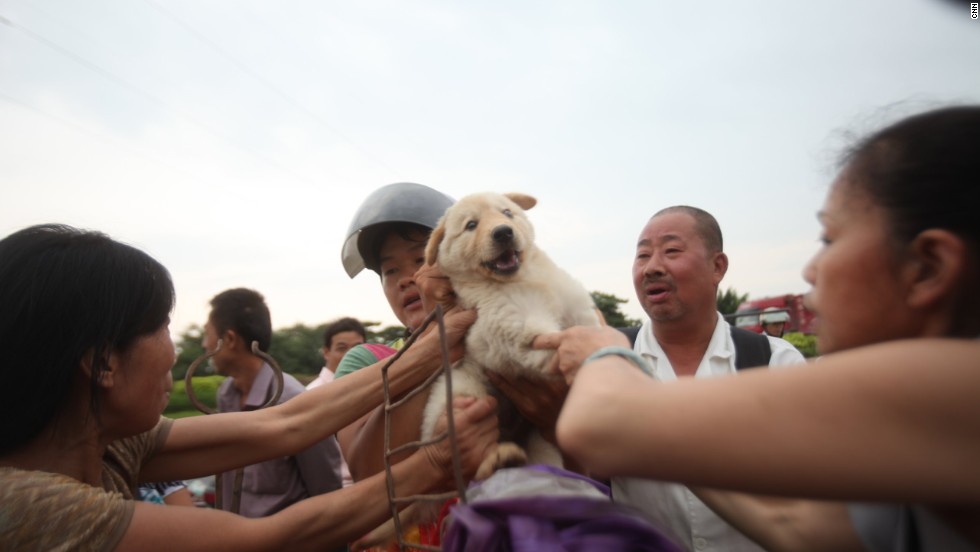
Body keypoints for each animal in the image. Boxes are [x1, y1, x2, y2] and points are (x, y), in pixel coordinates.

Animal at [424, 192, 604, 476]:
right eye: (471, 225)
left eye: (507, 213)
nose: (503, 232)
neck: (523, 279)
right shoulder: (515, 330)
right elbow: (558, 347)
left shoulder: (578, 312)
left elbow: (591, 334)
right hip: (462, 398)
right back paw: (499, 459)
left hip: (541, 441)